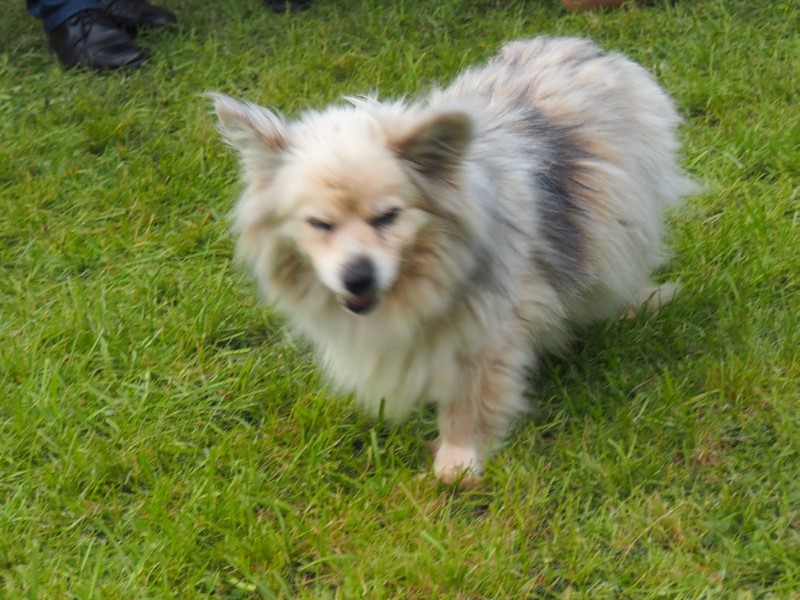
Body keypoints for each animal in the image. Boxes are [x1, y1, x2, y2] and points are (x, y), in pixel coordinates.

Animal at [210, 36, 696, 484]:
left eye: (388, 217)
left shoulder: (490, 330)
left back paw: (635, 303)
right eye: (319, 224)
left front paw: (459, 461)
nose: (357, 277)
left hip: (624, 210)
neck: (423, 276)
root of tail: (572, 43)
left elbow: (471, 398)